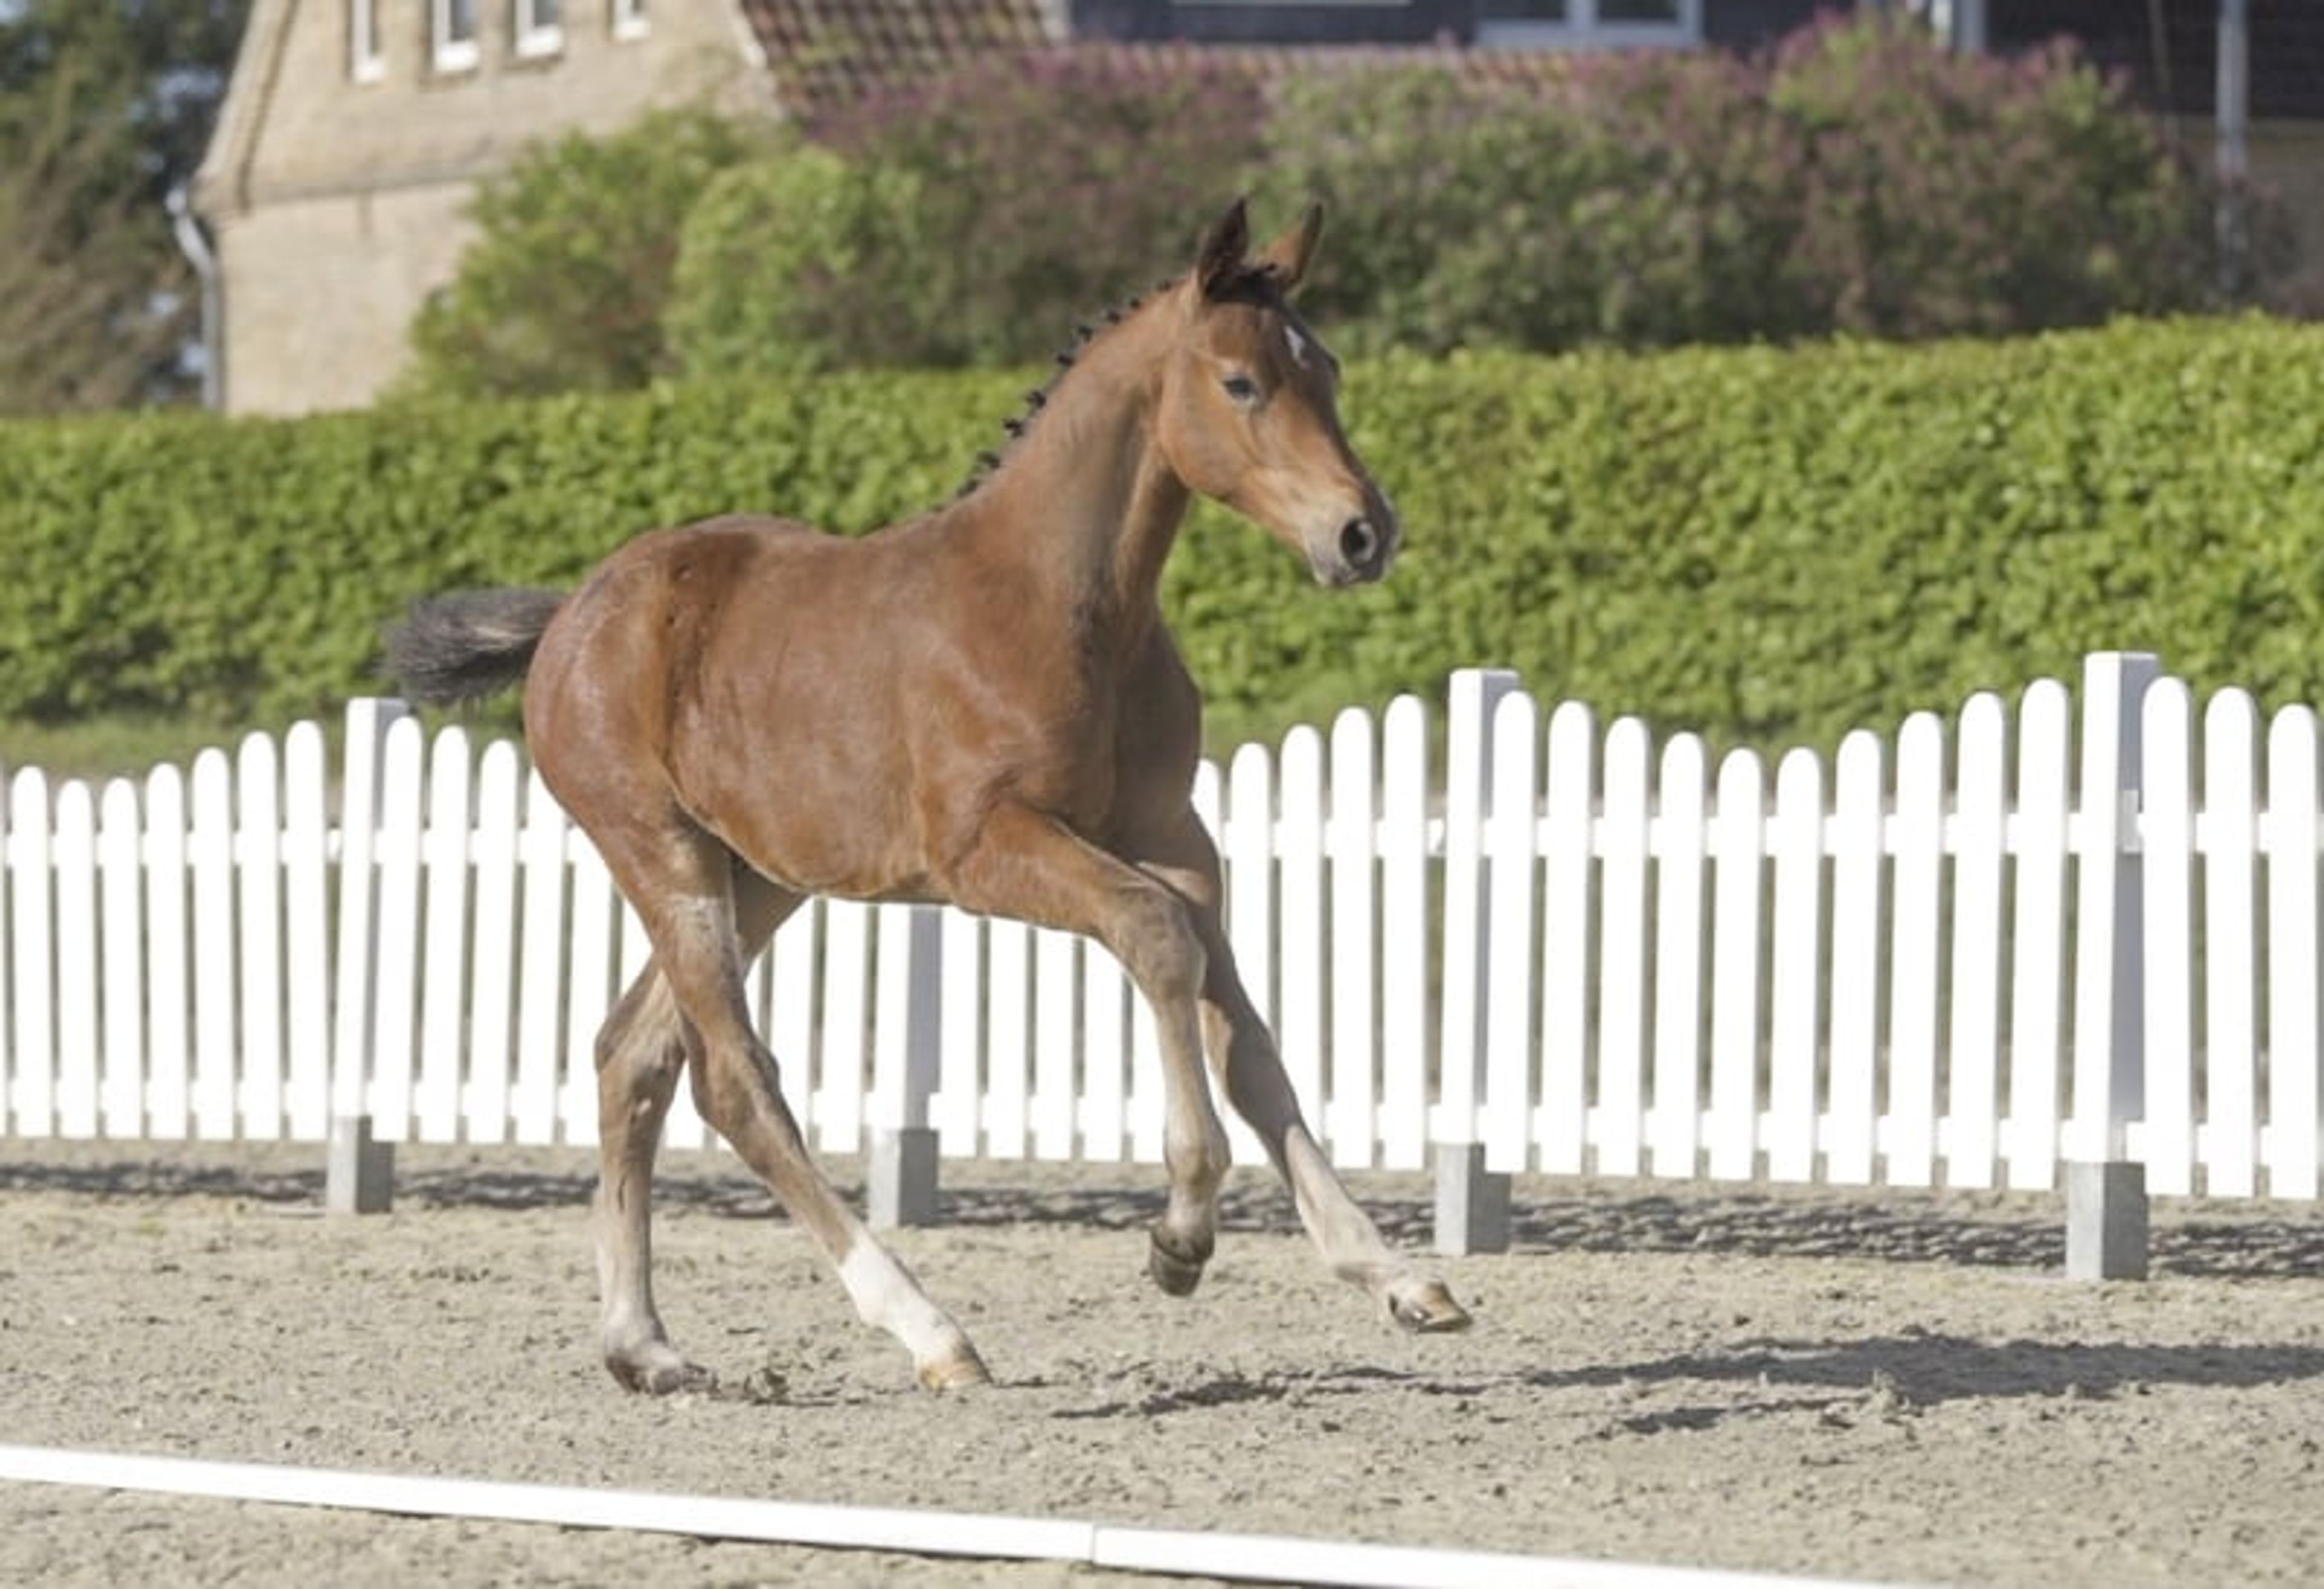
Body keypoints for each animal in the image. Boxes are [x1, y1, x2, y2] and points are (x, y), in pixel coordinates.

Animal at [384, 197, 1470, 1395]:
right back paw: (929, 1329)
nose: (1363, 532)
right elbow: (1158, 942)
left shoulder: (1175, 839)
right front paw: (1181, 1234)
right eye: (1239, 382)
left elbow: (1250, 1043)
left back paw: (646, 1346)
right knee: (733, 1079)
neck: (1067, 605)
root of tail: (571, 615)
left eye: (1325, 368)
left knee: (635, 1054)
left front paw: (1396, 1277)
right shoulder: (987, 850)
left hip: (759, 874)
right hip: (660, 853)